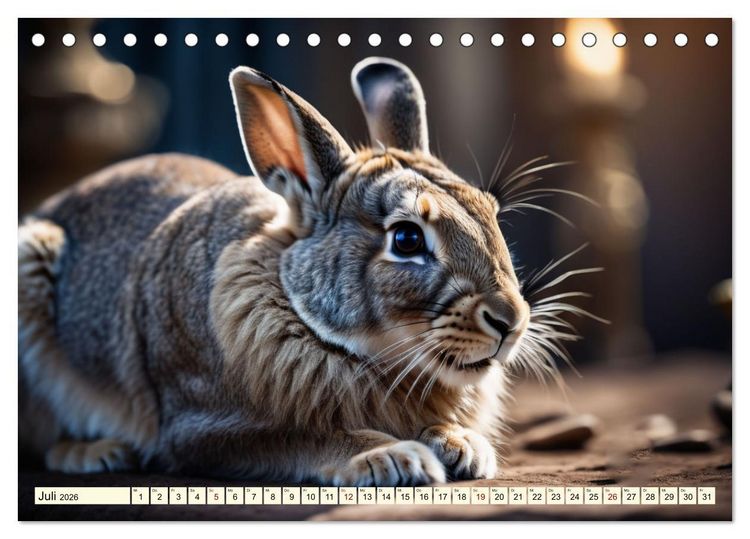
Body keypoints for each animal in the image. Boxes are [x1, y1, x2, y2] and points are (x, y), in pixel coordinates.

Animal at [18, 56, 561, 486]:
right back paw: (96, 453)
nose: (511, 321)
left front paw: (463, 446)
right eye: (406, 239)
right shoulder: (206, 430)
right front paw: (397, 457)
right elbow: (310, 437)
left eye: (490, 212)